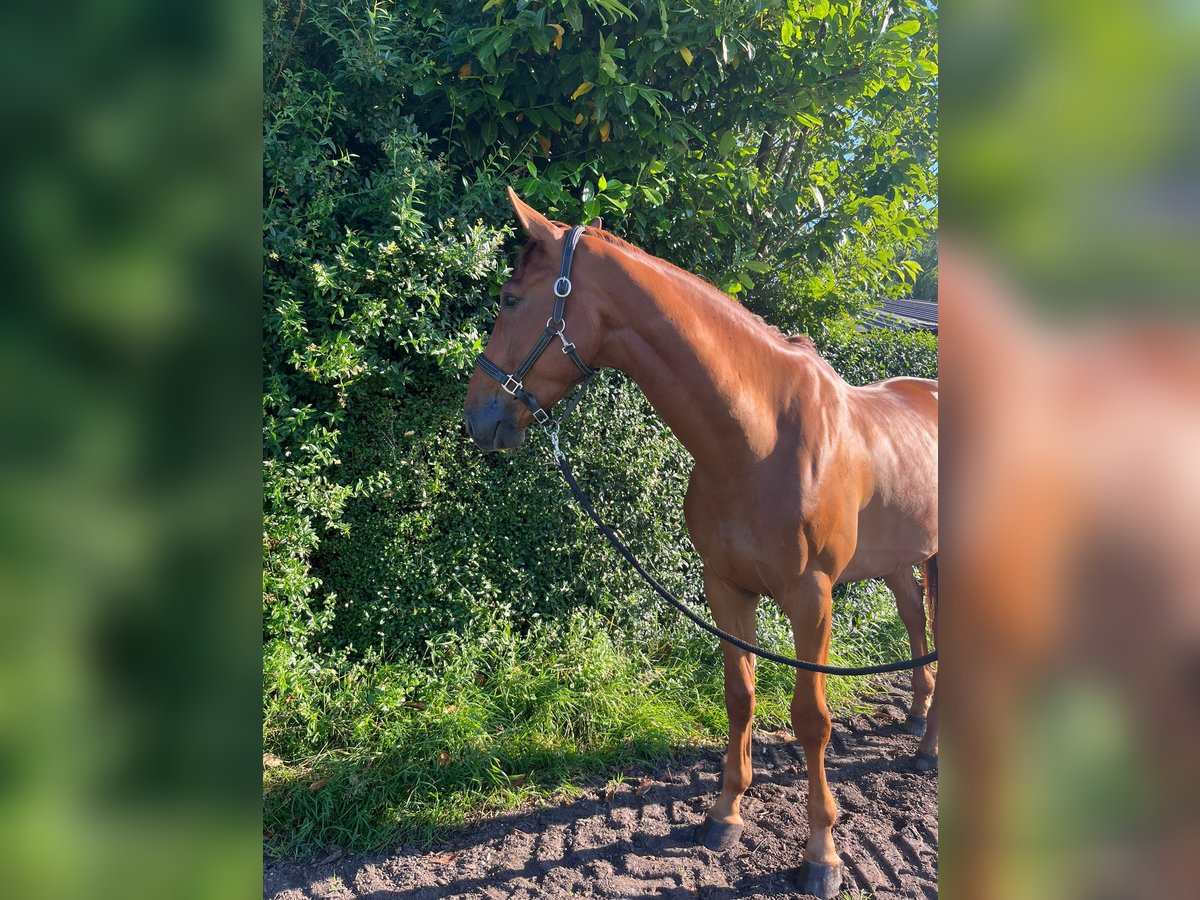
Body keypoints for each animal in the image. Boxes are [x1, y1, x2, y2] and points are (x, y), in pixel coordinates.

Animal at [460, 190, 936, 897]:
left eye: (511, 299)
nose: (477, 417)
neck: (758, 440)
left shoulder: (811, 597)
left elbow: (811, 719)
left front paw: (822, 854)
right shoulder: (726, 587)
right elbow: (740, 697)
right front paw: (724, 815)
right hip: (903, 562)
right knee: (915, 623)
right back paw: (920, 728)